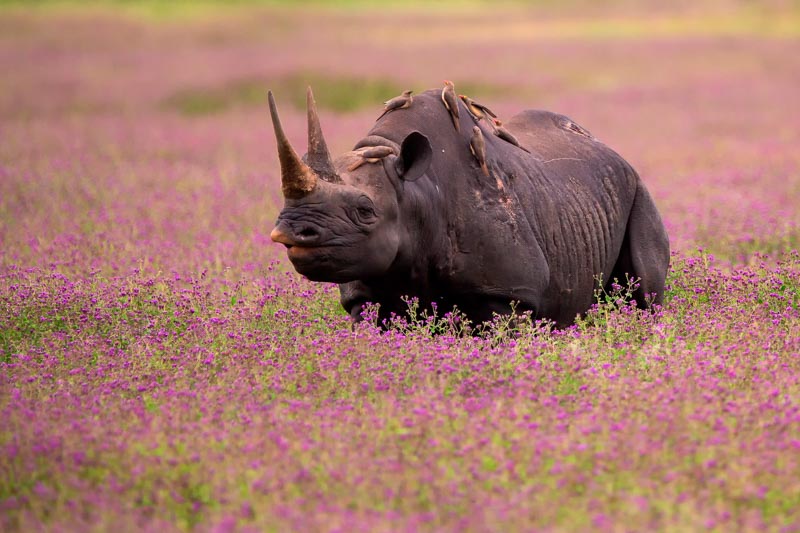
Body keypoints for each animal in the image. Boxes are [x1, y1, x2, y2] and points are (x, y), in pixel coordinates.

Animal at [268, 86, 669, 328]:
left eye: (365, 211)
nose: (290, 231)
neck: (416, 191)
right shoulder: (360, 297)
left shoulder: (509, 294)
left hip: (638, 189)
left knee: (647, 296)